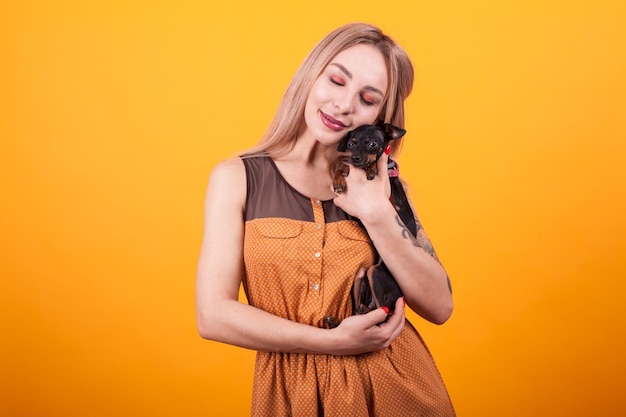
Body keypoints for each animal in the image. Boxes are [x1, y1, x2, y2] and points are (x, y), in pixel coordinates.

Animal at [324, 122, 416, 326]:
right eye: (351, 144)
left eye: (373, 144)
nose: (355, 158)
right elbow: (341, 165)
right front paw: (339, 180)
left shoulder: (392, 204)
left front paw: (372, 168)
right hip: (361, 276)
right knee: (362, 313)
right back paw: (339, 321)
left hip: (375, 273)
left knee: (384, 315)